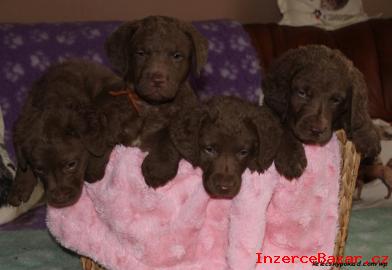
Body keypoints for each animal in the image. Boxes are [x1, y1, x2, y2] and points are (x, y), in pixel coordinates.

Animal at [262, 44, 382, 179]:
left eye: (336, 100)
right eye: (302, 93)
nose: (316, 130)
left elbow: (359, 113)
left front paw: (368, 135)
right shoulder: (272, 107)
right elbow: (281, 125)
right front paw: (290, 157)